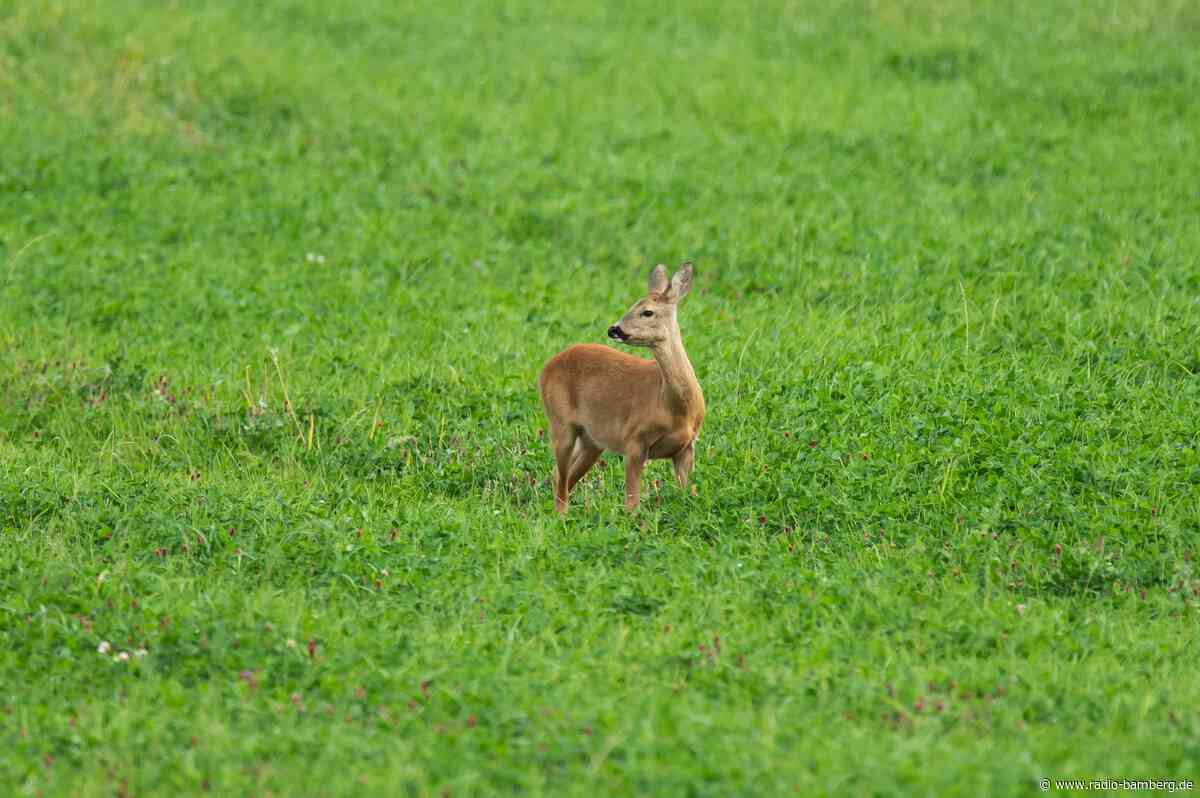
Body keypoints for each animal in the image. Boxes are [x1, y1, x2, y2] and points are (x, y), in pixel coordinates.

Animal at [537, 262, 705, 513]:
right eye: (632, 305)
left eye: (647, 311)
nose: (613, 329)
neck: (674, 407)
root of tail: (546, 368)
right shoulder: (634, 439)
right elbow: (632, 503)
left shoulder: (686, 448)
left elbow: (688, 493)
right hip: (560, 421)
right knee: (561, 479)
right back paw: (561, 515)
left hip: (591, 441)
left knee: (562, 476)